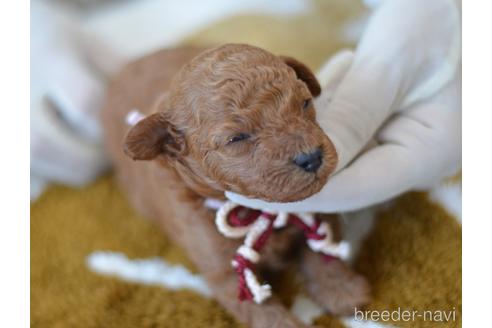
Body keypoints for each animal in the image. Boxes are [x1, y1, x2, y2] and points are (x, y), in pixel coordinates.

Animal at [104, 44, 372, 328]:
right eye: (237, 138)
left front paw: (342, 289)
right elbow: (262, 311)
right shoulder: (221, 268)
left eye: (305, 103)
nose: (311, 158)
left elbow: (320, 247)